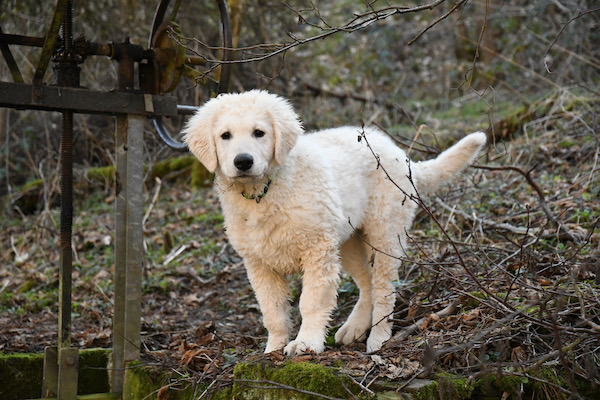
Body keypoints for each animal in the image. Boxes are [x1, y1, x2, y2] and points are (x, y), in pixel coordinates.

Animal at [183, 91, 488, 356]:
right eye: (225, 136)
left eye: (259, 132)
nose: (243, 162)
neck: (265, 192)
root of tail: (402, 156)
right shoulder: (259, 262)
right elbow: (273, 311)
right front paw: (273, 349)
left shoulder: (317, 249)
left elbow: (311, 302)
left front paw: (306, 343)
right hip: (348, 240)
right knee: (367, 282)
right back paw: (354, 328)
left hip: (384, 232)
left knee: (384, 288)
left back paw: (378, 337)